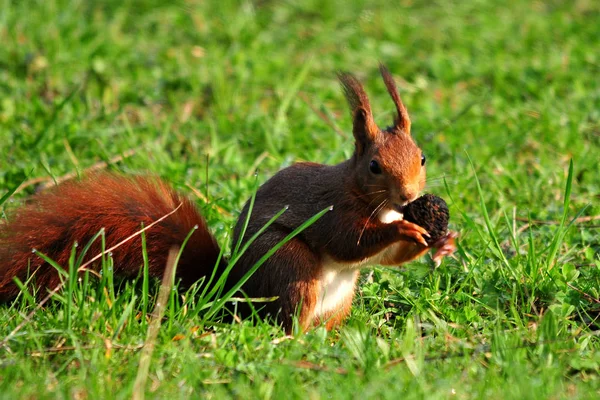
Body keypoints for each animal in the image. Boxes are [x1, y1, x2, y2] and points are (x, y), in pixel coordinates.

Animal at [0, 65, 458, 332]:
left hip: (339, 298)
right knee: (288, 322)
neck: (370, 199)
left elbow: (387, 258)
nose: (411, 195)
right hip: (289, 267)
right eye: (375, 167)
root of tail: (232, 291)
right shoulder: (332, 212)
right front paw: (407, 228)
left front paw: (443, 241)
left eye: (421, 157)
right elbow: (352, 243)